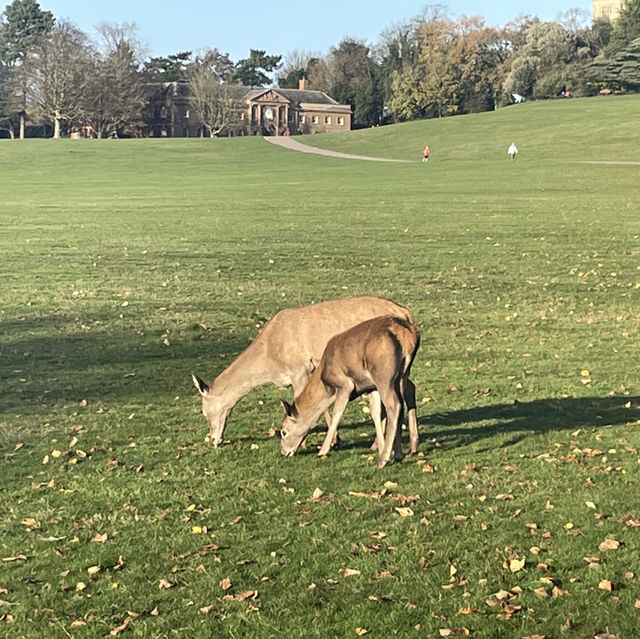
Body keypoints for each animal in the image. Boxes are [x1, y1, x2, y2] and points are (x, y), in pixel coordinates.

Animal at [191, 298, 416, 448]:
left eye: (203, 411)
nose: (213, 439)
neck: (269, 360)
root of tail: (406, 313)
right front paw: (335, 440)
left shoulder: (299, 368)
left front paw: (319, 442)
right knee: (409, 388)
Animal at [280, 316, 420, 470]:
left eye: (283, 431)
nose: (283, 452)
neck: (325, 379)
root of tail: (407, 336)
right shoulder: (371, 387)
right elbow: (375, 414)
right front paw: (380, 446)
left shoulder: (344, 385)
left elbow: (337, 414)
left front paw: (322, 450)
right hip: (402, 375)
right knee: (401, 404)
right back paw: (398, 455)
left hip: (383, 375)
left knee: (394, 405)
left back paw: (383, 460)